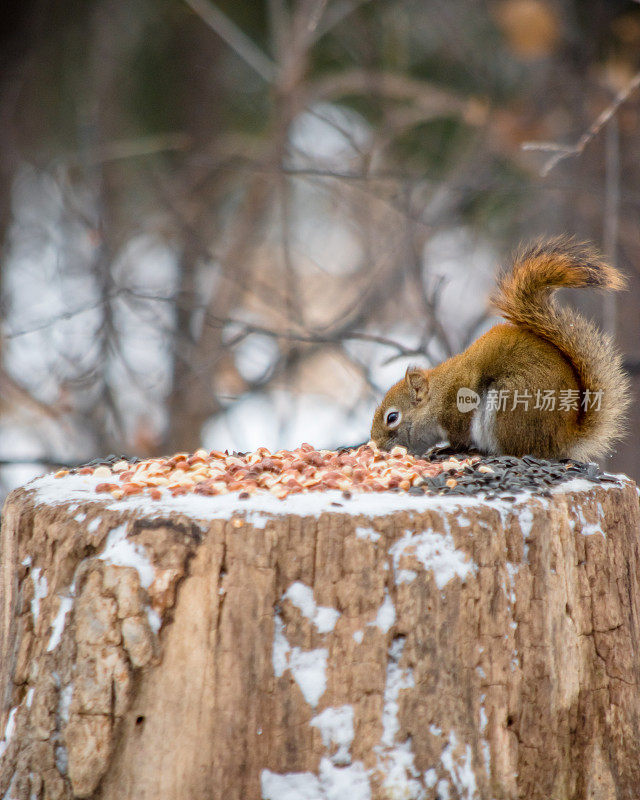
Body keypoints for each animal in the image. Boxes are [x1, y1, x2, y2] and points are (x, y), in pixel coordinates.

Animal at [372, 236, 628, 462]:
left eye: (392, 417)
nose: (376, 445)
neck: (437, 397)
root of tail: (561, 439)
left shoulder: (459, 408)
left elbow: (459, 438)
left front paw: (447, 449)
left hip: (506, 408)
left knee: (513, 449)